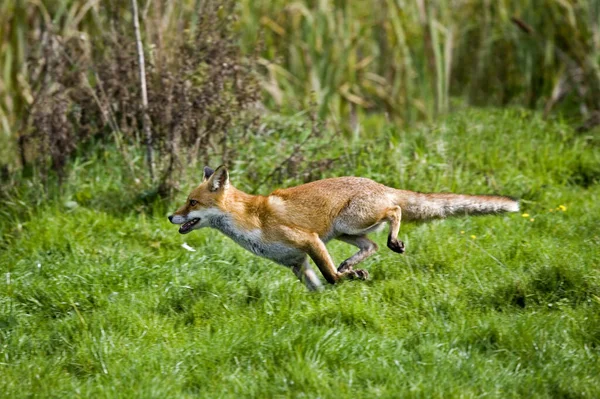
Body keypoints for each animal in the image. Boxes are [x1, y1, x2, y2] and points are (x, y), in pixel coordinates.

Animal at [166, 166, 516, 290]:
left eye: (191, 203)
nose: (170, 217)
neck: (252, 220)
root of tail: (379, 184)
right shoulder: (297, 263)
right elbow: (320, 285)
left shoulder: (309, 241)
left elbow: (330, 276)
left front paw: (347, 279)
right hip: (346, 232)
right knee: (370, 245)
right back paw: (353, 263)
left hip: (351, 221)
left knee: (395, 211)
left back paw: (392, 242)